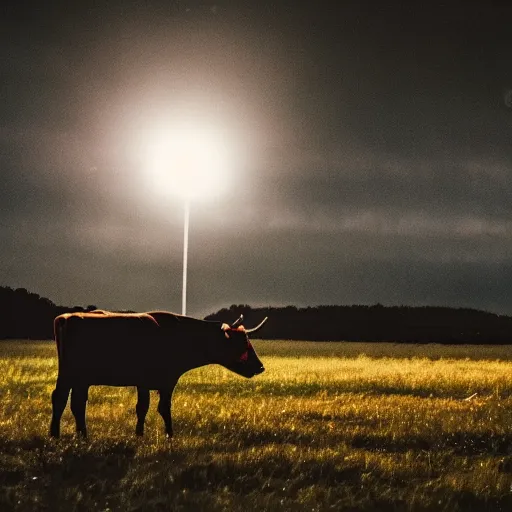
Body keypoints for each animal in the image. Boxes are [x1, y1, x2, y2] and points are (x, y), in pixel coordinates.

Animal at [49, 310, 266, 438]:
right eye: (243, 343)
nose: (260, 367)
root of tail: (67, 318)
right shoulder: (158, 381)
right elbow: (156, 407)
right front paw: (166, 434)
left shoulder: (151, 383)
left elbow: (146, 408)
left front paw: (142, 433)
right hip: (73, 375)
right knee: (65, 400)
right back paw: (62, 434)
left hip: (77, 379)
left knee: (71, 401)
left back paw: (75, 434)